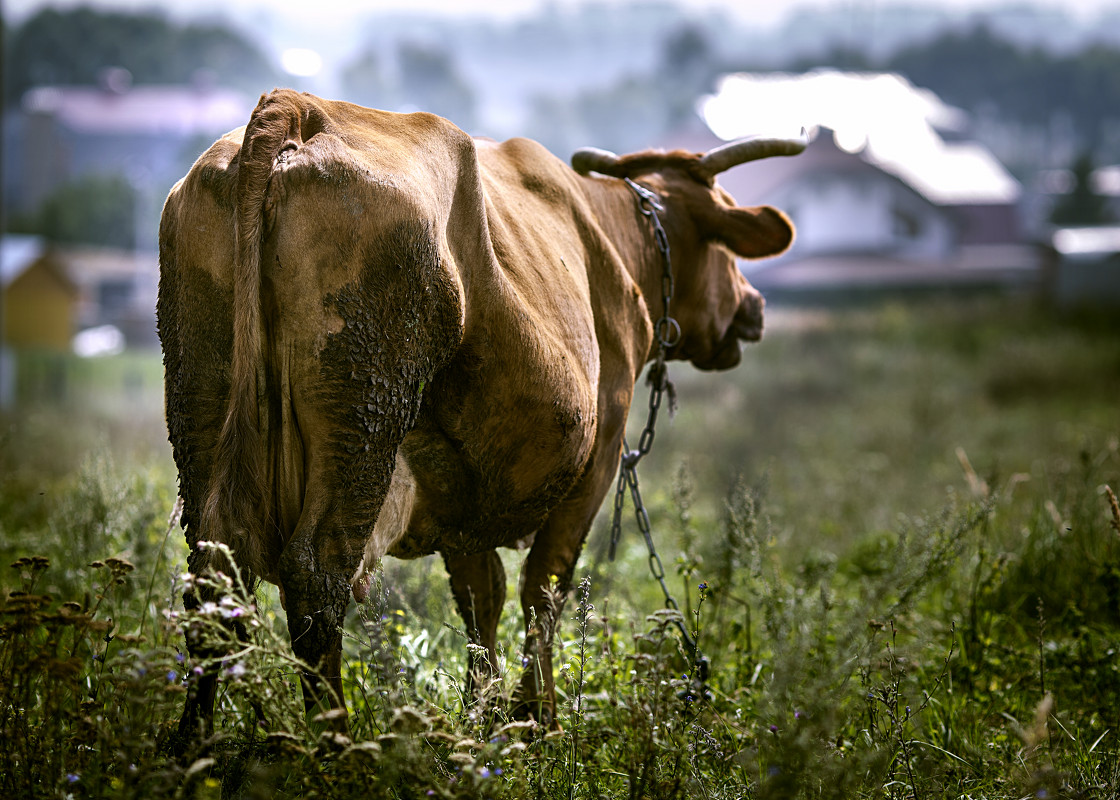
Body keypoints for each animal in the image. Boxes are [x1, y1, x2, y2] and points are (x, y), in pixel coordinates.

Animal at [160, 87, 806, 735]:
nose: (754, 305)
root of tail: (297, 107)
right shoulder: (598, 454)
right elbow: (544, 587)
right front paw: (536, 715)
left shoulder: (457, 487)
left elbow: (482, 595)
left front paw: (484, 713)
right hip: (363, 424)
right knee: (317, 575)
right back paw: (336, 742)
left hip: (201, 408)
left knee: (214, 577)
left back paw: (194, 741)